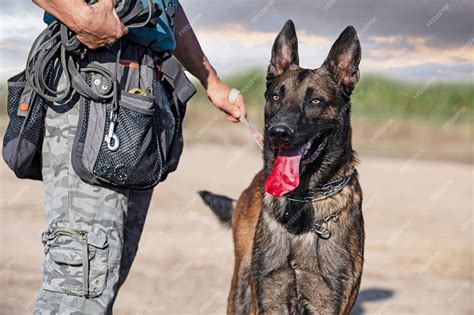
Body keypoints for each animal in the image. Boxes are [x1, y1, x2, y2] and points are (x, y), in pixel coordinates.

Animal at [198, 20, 364, 315]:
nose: (279, 133)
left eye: (315, 101)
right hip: (241, 285)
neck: (303, 201)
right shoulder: (268, 299)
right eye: (276, 97)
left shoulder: (328, 303)